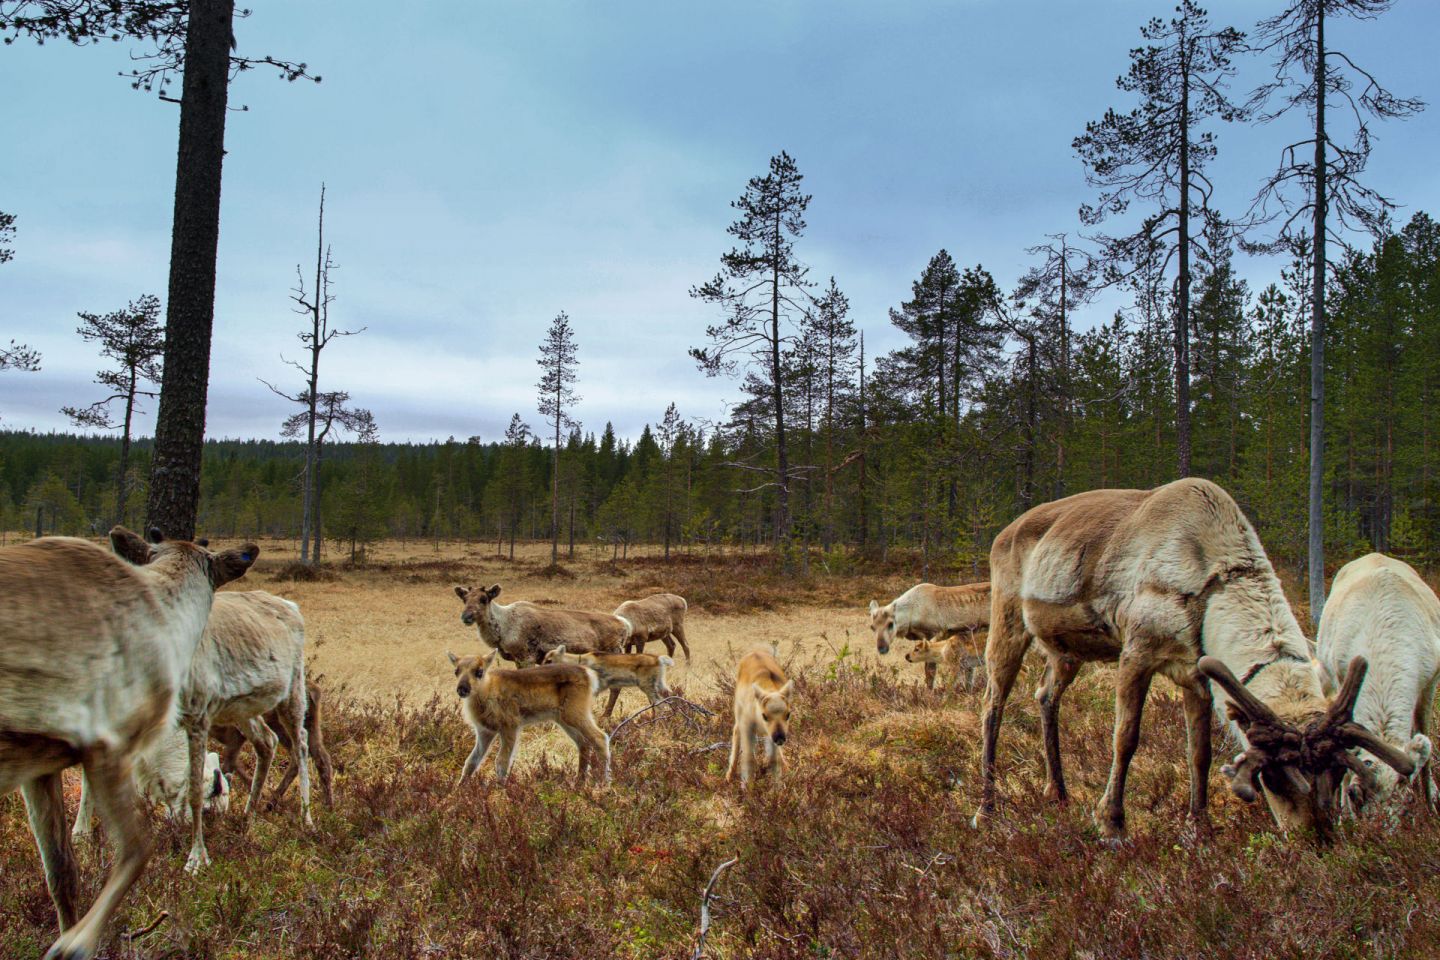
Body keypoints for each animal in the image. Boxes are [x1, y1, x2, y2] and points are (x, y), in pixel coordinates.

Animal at [446, 653, 610, 788]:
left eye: (479, 672)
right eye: (456, 671)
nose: (462, 689)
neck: (487, 691)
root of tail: (589, 674)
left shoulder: (510, 726)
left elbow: (501, 761)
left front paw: (501, 790)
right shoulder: (485, 731)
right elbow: (472, 761)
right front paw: (459, 789)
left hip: (576, 713)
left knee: (600, 737)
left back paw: (603, 784)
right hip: (564, 720)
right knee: (584, 744)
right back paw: (579, 784)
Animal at [541, 641, 671, 716]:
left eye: (549, 660)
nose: (540, 668)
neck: (581, 661)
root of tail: (659, 659)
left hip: (647, 686)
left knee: (660, 704)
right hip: (660, 683)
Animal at [725, 644, 794, 788]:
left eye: (788, 714)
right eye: (764, 715)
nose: (780, 737)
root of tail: (754, 652)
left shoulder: (772, 735)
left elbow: (774, 759)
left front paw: (778, 788)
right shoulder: (747, 726)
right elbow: (748, 758)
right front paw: (748, 788)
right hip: (738, 713)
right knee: (736, 732)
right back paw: (729, 776)